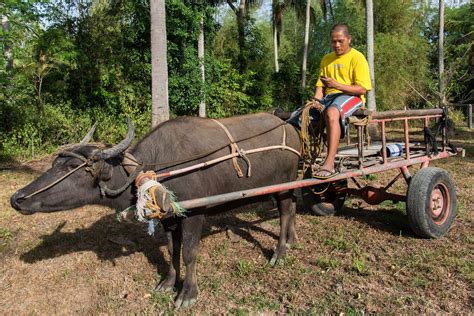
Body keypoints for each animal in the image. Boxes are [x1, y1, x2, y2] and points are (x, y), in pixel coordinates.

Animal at [10, 113, 300, 308]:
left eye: (74, 168)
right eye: (55, 164)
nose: (18, 198)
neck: (157, 168)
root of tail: (291, 127)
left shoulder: (194, 215)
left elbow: (189, 254)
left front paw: (187, 293)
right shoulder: (168, 219)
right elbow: (172, 251)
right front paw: (168, 283)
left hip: (284, 185)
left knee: (285, 213)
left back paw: (280, 252)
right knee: (293, 208)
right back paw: (292, 240)